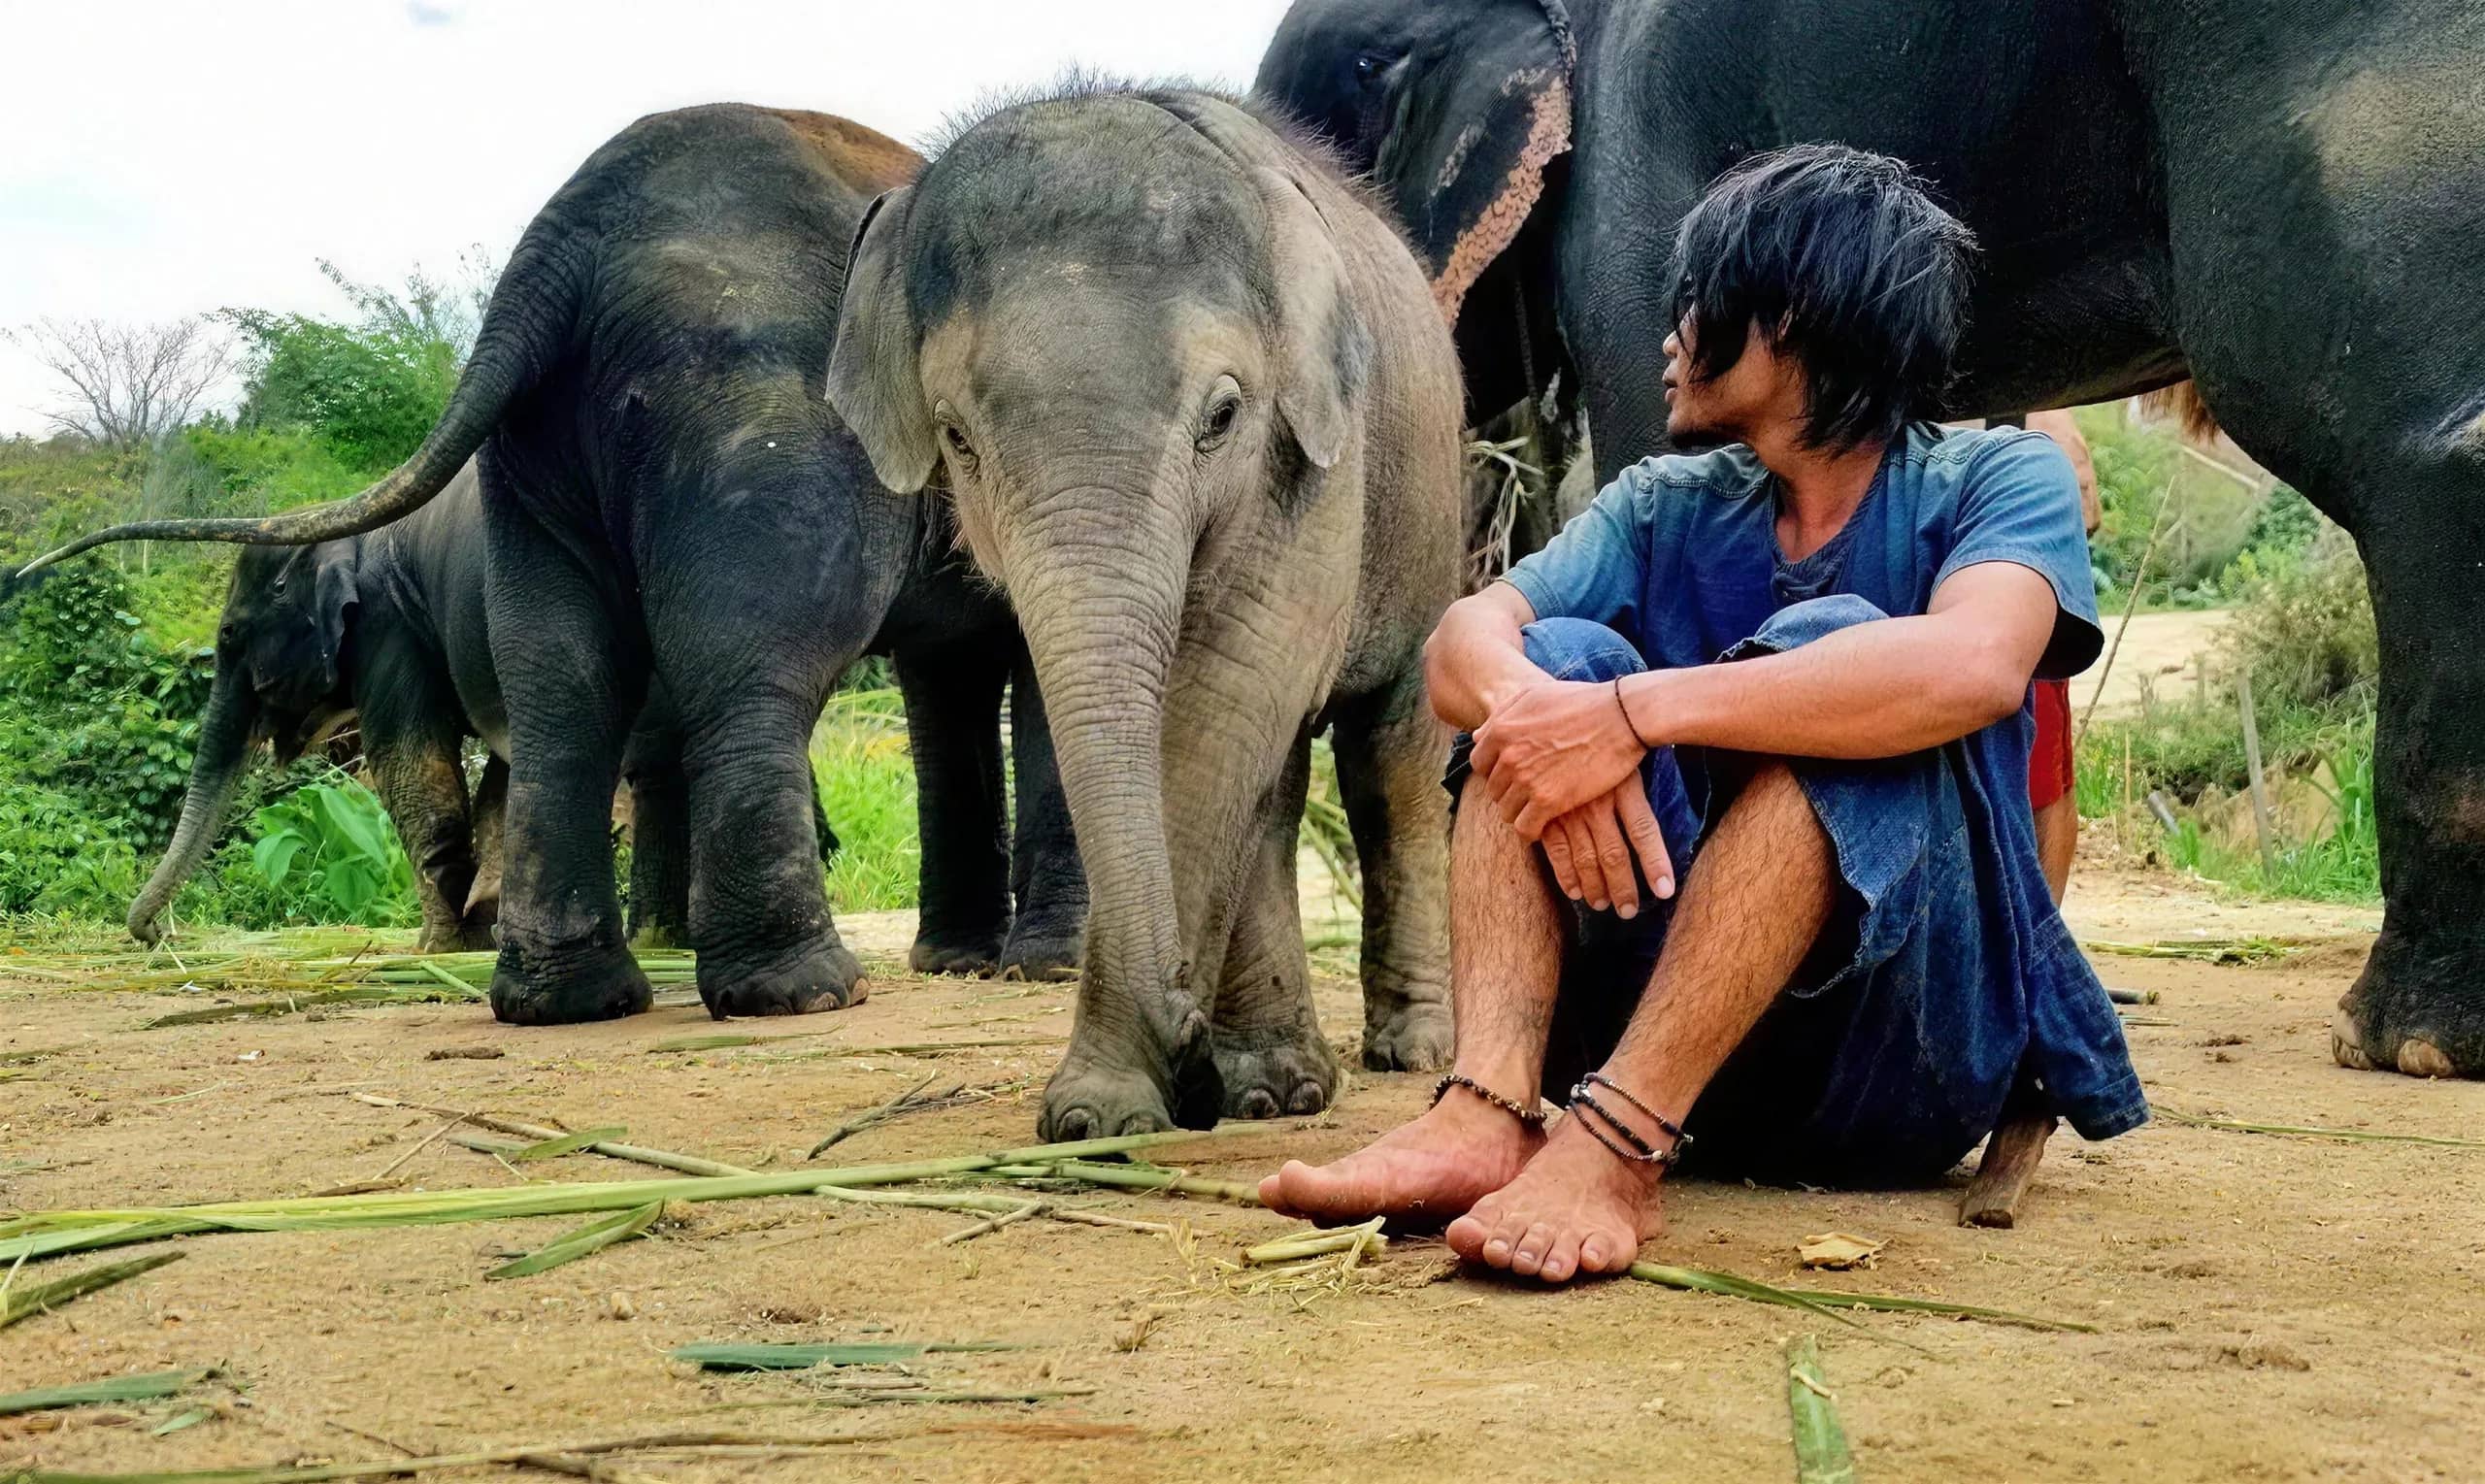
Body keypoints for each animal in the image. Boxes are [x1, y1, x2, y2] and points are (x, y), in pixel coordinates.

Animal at [26, 104, 1087, 1022]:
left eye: (235, 638)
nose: (149, 934)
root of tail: (555, 258)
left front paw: (988, 965)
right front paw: (1037, 969)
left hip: (569, 443)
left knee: (565, 690)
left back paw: (573, 997)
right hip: (746, 410)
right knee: (746, 671)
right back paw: (794, 993)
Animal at [826, 83, 1467, 1138]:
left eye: (1223, 417)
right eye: (957, 438)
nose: (1185, 1034)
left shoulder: (1314, 457)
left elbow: (1227, 694)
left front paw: (1103, 1108)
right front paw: (1134, 1102)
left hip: (1428, 519)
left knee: (1390, 761)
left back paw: (1411, 1050)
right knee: (1277, 785)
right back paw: (1277, 1086)